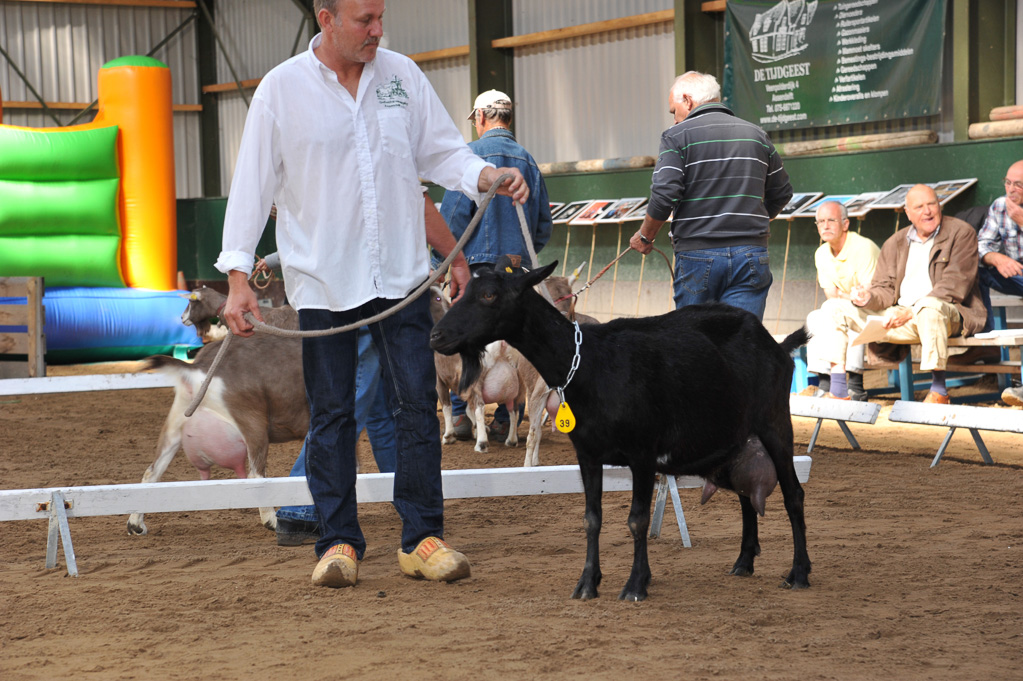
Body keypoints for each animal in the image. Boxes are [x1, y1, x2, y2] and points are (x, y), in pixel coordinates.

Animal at [427, 260, 810, 601]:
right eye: (464, 291)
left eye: (489, 294)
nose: (436, 335)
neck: (589, 365)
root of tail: (776, 344)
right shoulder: (587, 454)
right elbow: (591, 519)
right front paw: (587, 584)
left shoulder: (643, 454)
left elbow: (637, 520)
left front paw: (636, 585)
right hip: (737, 436)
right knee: (746, 495)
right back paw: (744, 562)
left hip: (775, 422)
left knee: (793, 493)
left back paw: (799, 573)